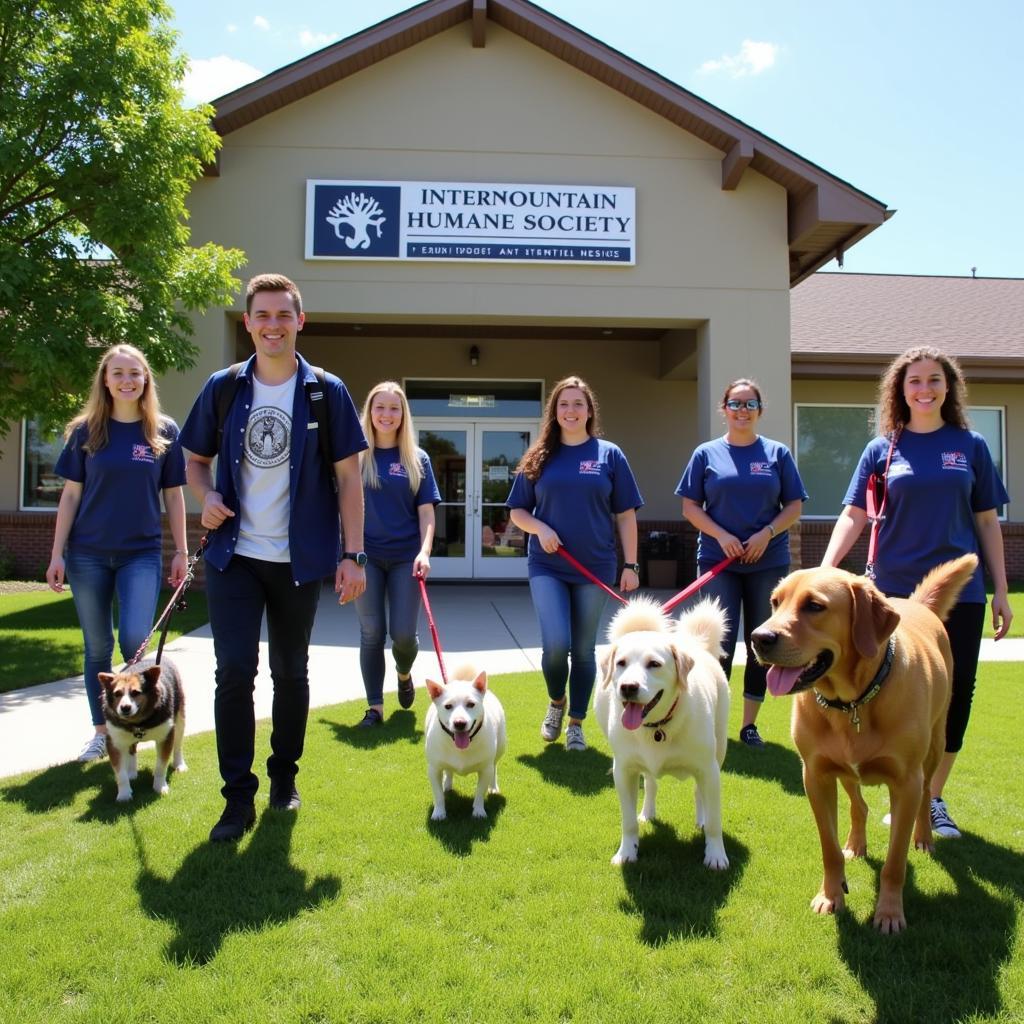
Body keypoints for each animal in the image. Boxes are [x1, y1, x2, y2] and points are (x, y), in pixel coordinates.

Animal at [421, 663, 505, 823]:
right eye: (448, 706)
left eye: (471, 704)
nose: (459, 723)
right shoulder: (433, 769)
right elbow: (438, 795)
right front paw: (439, 813)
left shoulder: (485, 769)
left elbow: (480, 792)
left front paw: (478, 811)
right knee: (448, 770)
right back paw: (447, 785)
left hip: (500, 748)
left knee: (495, 767)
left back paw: (493, 787)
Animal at [598, 598, 733, 868]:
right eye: (621, 663)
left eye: (654, 664)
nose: (628, 687)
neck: (656, 726)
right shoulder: (623, 770)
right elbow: (627, 821)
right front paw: (627, 852)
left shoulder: (709, 769)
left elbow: (715, 821)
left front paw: (715, 855)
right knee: (651, 784)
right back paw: (647, 813)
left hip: (718, 750)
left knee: (699, 793)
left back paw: (701, 820)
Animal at [753, 557, 974, 933]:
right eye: (775, 602)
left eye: (815, 606)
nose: (758, 638)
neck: (852, 701)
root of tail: (916, 604)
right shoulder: (815, 775)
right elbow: (828, 848)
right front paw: (830, 895)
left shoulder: (906, 782)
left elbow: (895, 861)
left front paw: (889, 913)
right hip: (844, 769)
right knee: (859, 805)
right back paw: (855, 844)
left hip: (934, 746)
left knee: (927, 793)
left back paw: (924, 837)